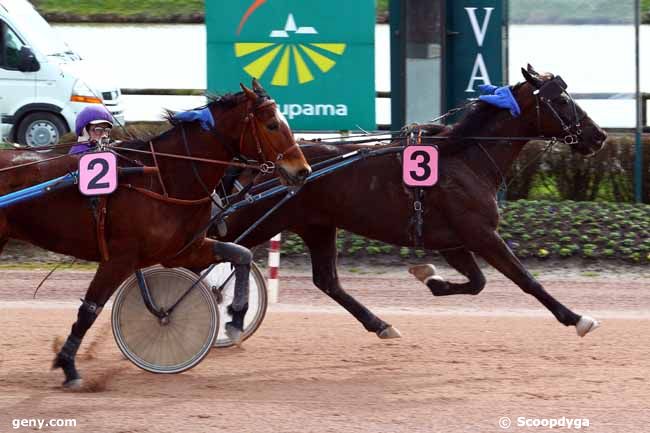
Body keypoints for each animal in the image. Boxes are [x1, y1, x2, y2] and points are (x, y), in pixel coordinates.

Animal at [0, 79, 312, 386]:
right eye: (272, 124)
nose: (303, 170)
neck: (161, 177)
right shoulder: (120, 258)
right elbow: (89, 310)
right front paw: (68, 365)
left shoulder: (182, 251)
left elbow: (242, 255)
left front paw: (235, 319)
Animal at [214, 66, 608, 340]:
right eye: (561, 100)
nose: (599, 135)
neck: (466, 158)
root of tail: (262, 163)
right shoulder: (481, 233)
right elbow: (526, 279)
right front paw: (577, 318)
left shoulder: (454, 241)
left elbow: (477, 282)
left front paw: (430, 277)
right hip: (262, 219)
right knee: (224, 250)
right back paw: (227, 309)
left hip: (317, 225)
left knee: (326, 281)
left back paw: (380, 324)